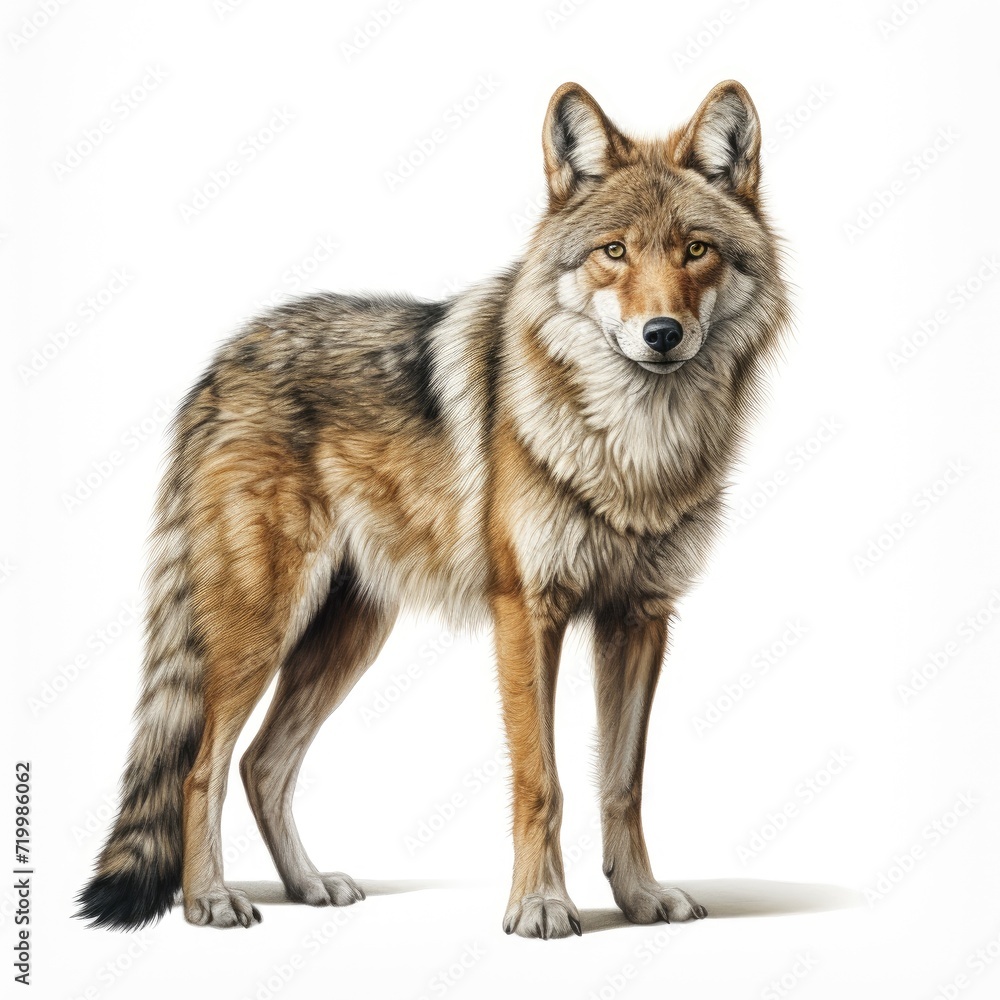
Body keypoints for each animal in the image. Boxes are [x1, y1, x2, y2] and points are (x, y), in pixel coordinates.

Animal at [77, 80, 790, 938]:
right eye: (614, 252)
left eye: (696, 251)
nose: (661, 334)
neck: (635, 448)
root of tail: (217, 366)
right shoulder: (527, 613)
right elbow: (542, 781)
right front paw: (541, 906)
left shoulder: (640, 617)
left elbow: (623, 784)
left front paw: (640, 898)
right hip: (262, 632)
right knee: (202, 766)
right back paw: (208, 899)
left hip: (348, 636)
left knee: (260, 764)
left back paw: (308, 886)